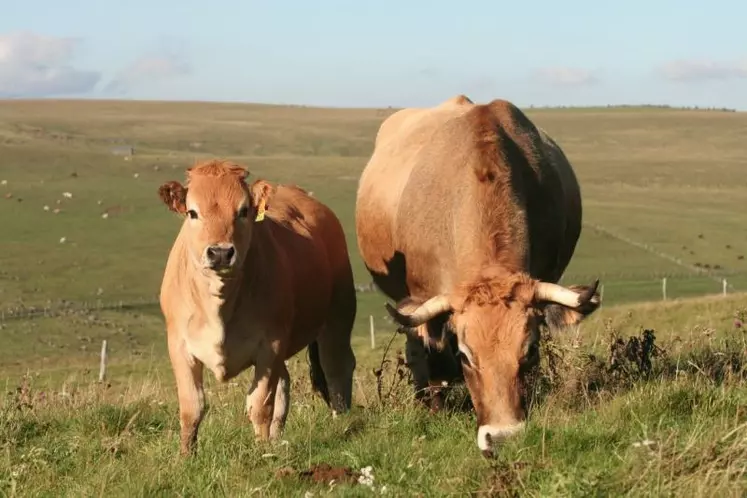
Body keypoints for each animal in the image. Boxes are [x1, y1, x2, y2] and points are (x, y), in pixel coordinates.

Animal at [156, 160, 358, 456]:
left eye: (243, 211)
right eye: (192, 212)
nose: (220, 253)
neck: (220, 305)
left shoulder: (269, 346)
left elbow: (260, 405)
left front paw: (262, 452)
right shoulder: (179, 345)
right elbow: (191, 408)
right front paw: (186, 456)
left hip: (338, 314)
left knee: (336, 368)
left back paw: (341, 423)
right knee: (286, 382)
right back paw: (277, 437)